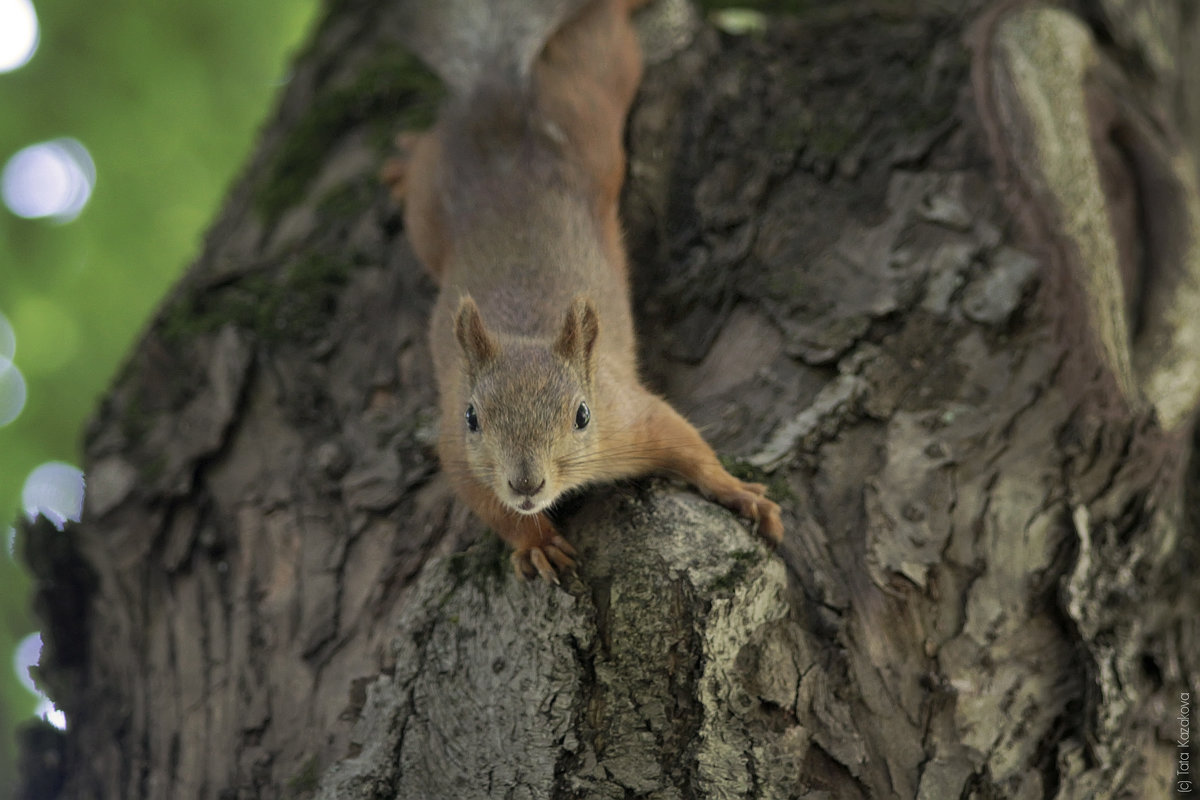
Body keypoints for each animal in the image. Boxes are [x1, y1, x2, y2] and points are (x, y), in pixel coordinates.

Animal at [381, 0, 777, 582]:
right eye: (473, 417)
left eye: (582, 415)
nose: (526, 484)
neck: (526, 333)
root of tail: (499, 100)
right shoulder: (461, 455)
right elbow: (492, 507)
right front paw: (536, 541)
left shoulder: (631, 416)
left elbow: (690, 445)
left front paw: (740, 493)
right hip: (431, 204)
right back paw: (403, 163)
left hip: (593, 91)